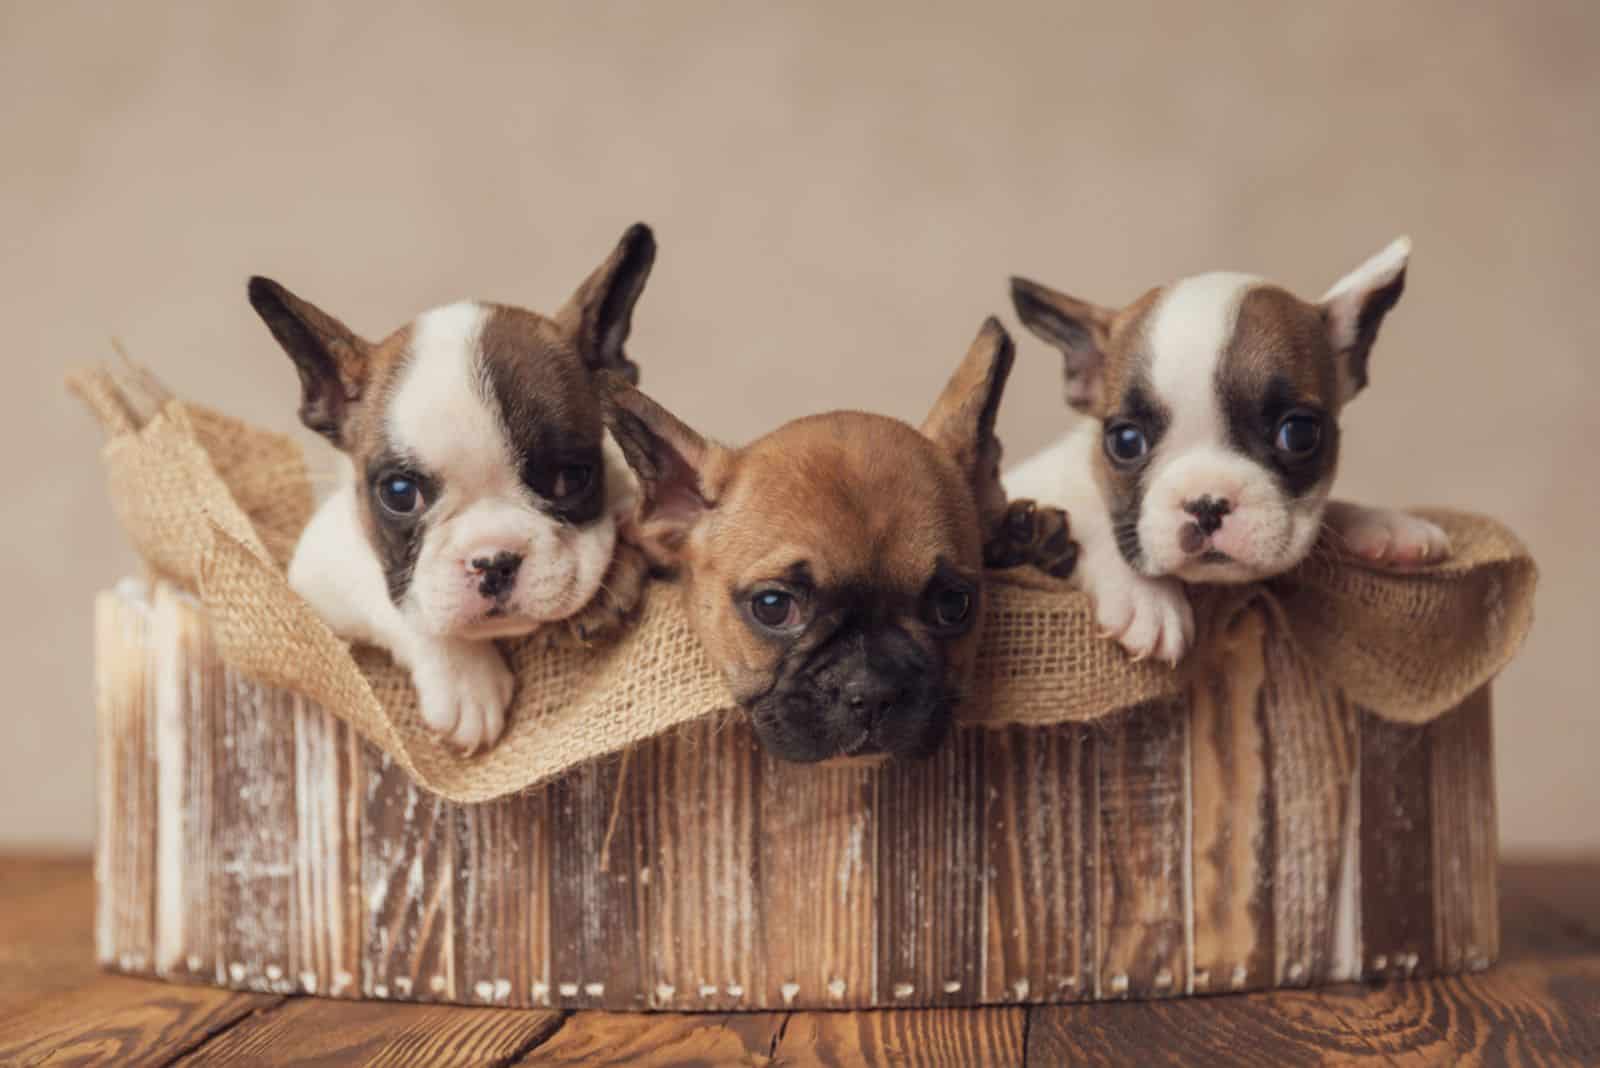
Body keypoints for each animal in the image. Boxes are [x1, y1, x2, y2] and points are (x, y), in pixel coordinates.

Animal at [248, 223, 656, 751]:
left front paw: (611, 582)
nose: (494, 560)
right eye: (400, 493)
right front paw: (466, 679)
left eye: (571, 477)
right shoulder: (321, 572)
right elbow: (398, 599)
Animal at [1011, 238, 1452, 661]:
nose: (1206, 504)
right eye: (1126, 441)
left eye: (1299, 434)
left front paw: (1383, 524)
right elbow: (1096, 523)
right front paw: (1145, 596)